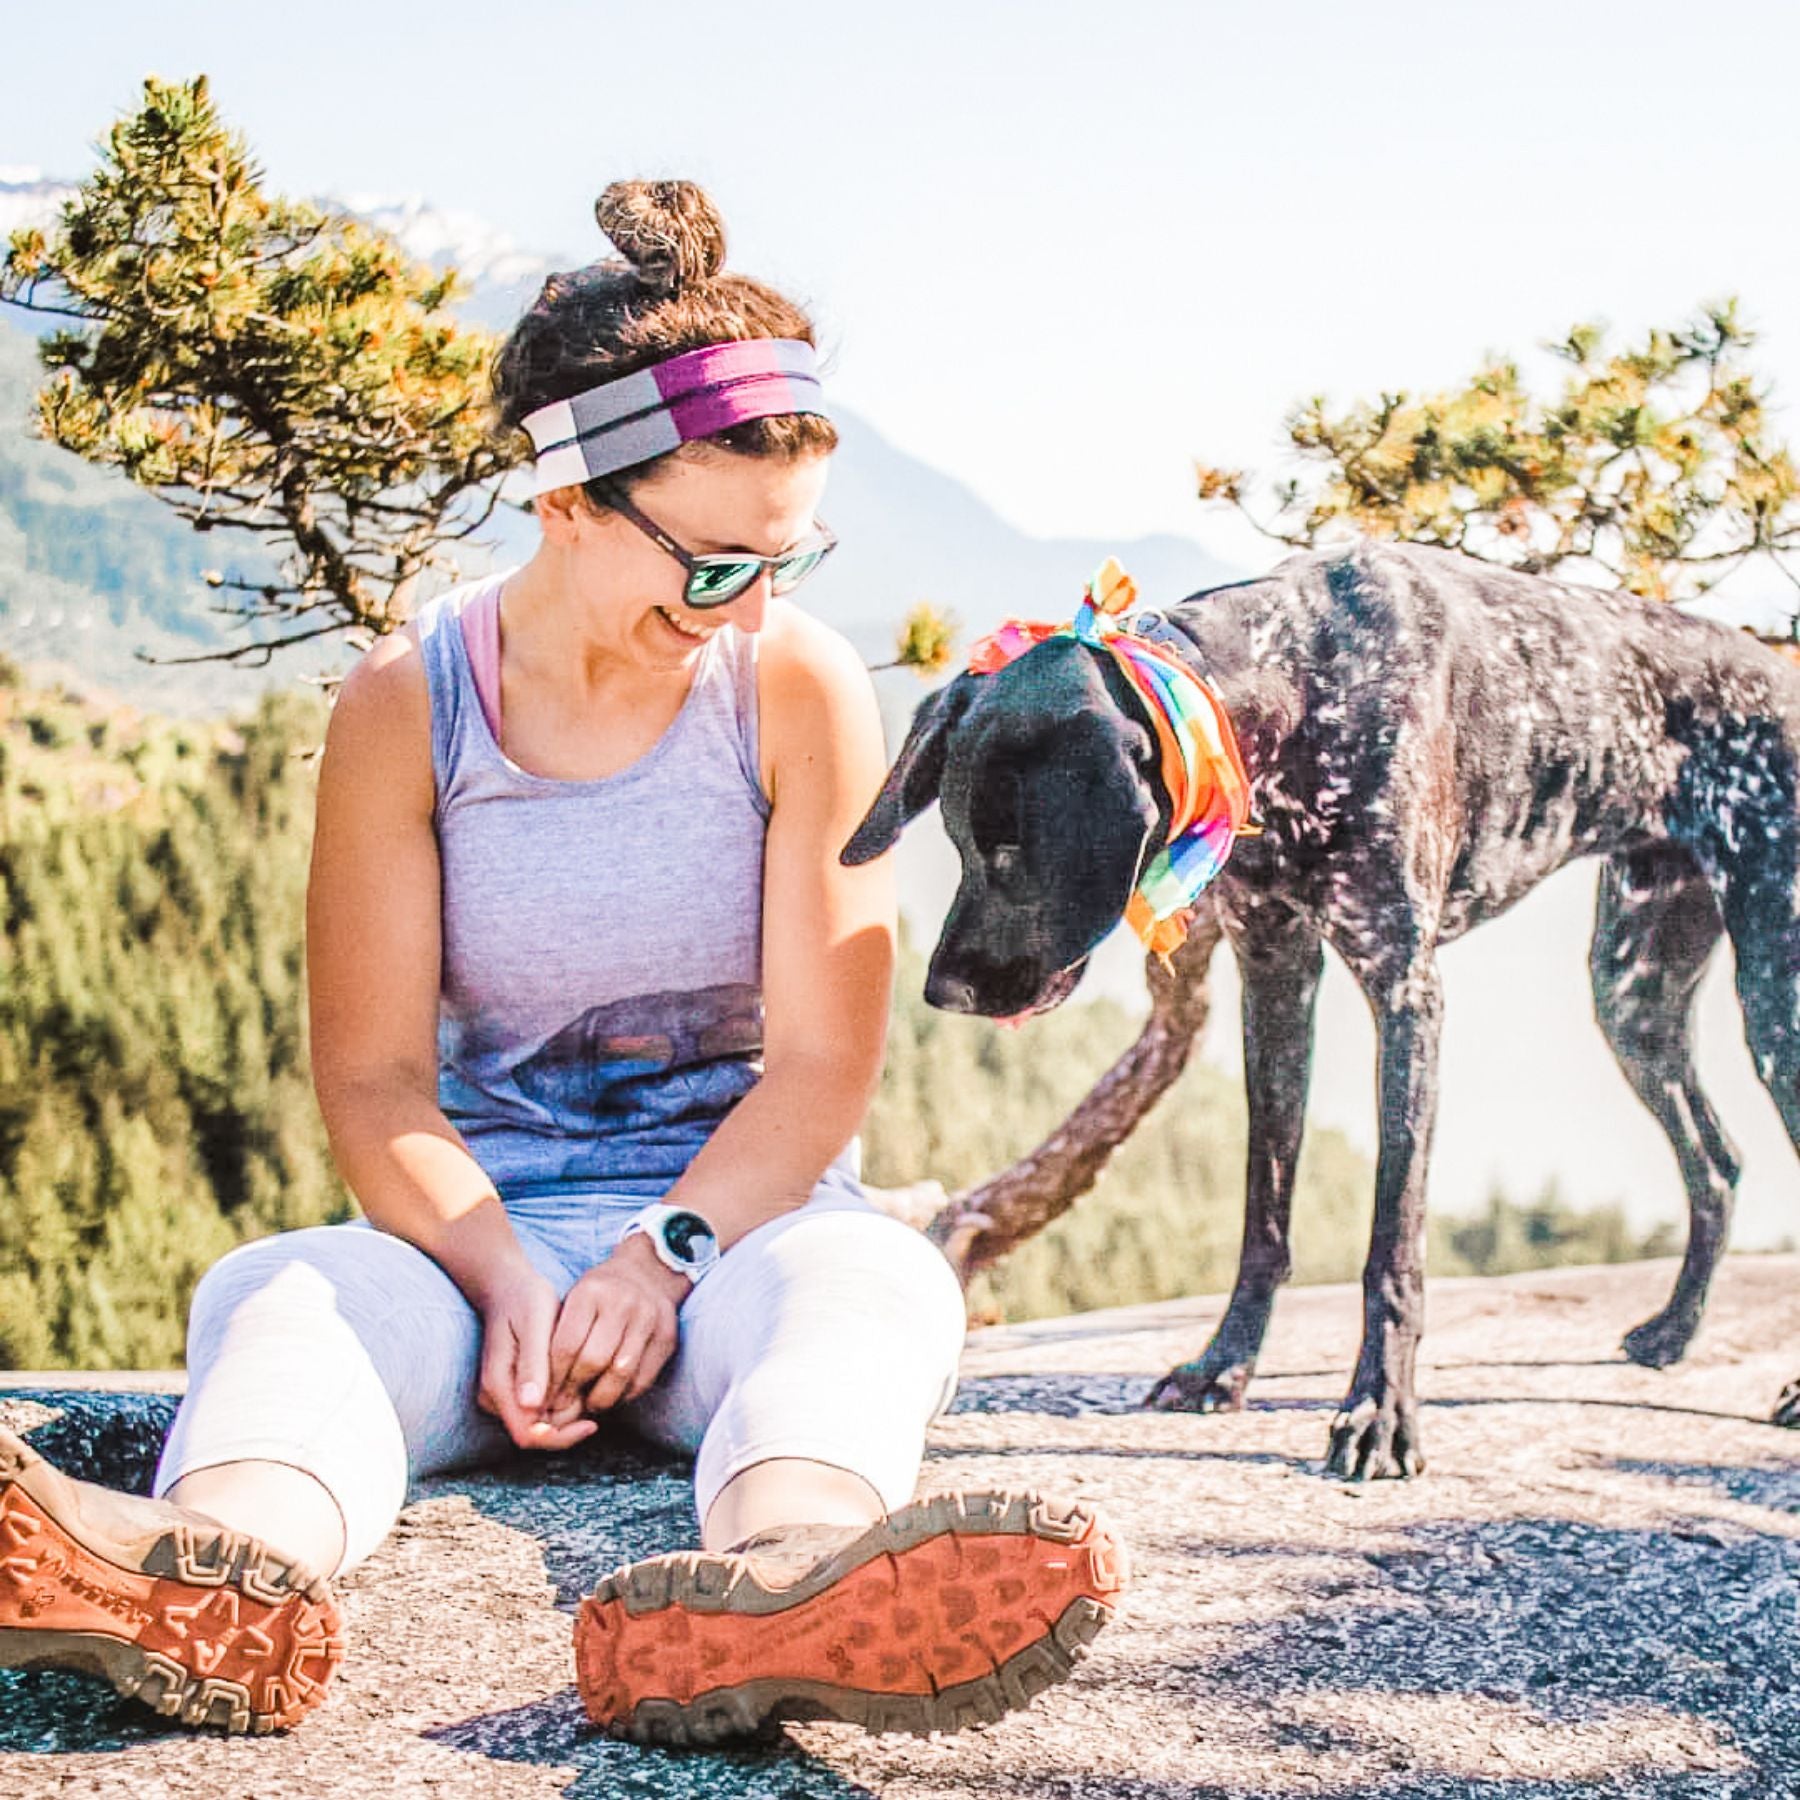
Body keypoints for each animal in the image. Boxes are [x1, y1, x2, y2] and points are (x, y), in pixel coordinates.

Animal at [842, 532, 1800, 1476]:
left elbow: (1392, 1248)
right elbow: (1264, 1215)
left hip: (1773, 1003)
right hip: (1633, 994)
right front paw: (1223, 1365)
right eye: (958, 840)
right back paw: (1673, 1332)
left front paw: (1380, 1411)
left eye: (1010, 851)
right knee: (1716, 1162)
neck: (1294, 684)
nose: (940, 991)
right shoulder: (1273, 973)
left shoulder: (1404, 990)